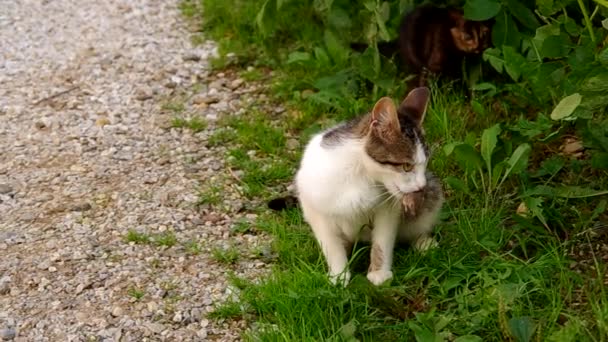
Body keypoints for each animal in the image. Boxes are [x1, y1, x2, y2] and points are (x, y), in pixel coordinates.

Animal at [294, 88, 442, 286]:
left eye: (425, 164)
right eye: (406, 166)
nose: (421, 186)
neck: (361, 174)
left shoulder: (388, 209)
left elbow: (382, 240)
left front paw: (379, 272)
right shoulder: (315, 208)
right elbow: (331, 245)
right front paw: (339, 274)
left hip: (433, 193)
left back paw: (423, 242)